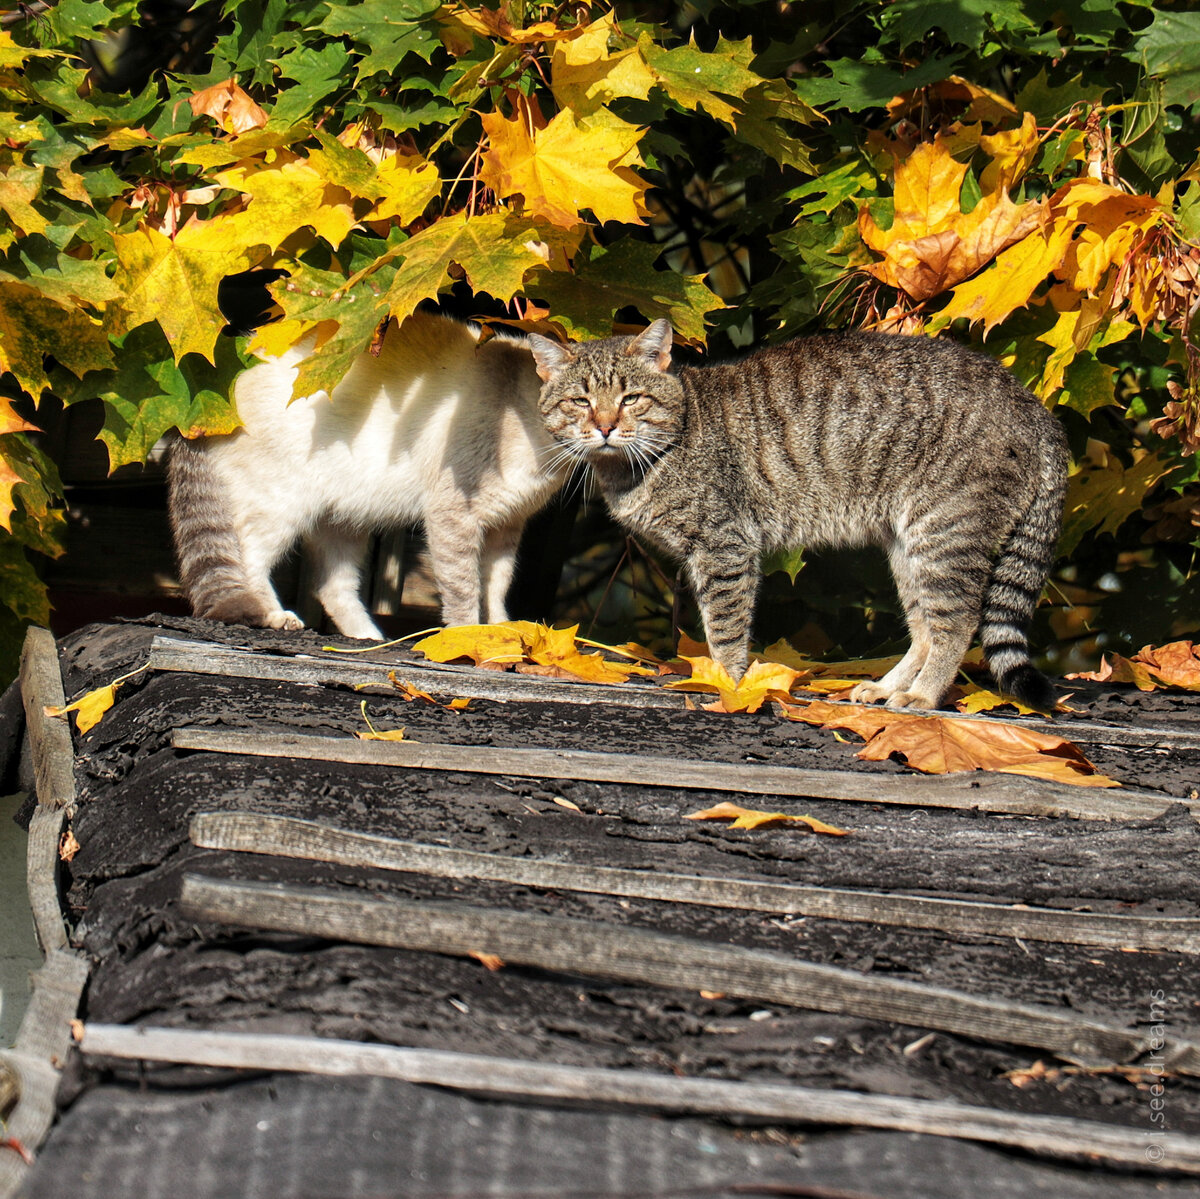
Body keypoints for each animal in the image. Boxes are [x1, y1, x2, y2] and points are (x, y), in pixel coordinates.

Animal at [166, 314, 564, 643]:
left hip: (342, 519)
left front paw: (505, 632)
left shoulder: (506, 525)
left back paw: (369, 637)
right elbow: (464, 589)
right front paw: (469, 639)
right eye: (577, 403)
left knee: (332, 587)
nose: (593, 433)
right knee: (248, 560)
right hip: (281, 506)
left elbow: (495, 588)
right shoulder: (455, 516)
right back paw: (274, 616)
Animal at [530, 321, 1065, 710]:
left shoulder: (725, 548)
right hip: (908, 547)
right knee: (924, 627)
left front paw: (728, 685)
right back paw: (889, 686)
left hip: (945, 532)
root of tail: (1035, 407)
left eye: (631, 398)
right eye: (580, 401)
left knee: (957, 622)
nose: (604, 426)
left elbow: (725, 629)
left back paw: (923, 695)